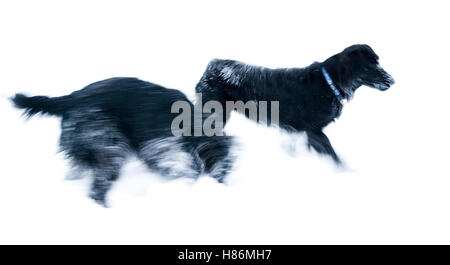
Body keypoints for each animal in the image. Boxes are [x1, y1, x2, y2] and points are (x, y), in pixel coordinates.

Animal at [12, 77, 234, 205]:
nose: (223, 182)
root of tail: (70, 99)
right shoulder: (164, 149)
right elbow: (183, 167)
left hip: (84, 152)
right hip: (110, 145)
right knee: (98, 186)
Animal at [196, 43, 394, 163]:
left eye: (378, 61)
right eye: (370, 65)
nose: (392, 81)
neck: (328, 83)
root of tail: (211, 65)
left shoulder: (303, 132)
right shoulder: (314, 131)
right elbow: (334, 156)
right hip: (216, 114)